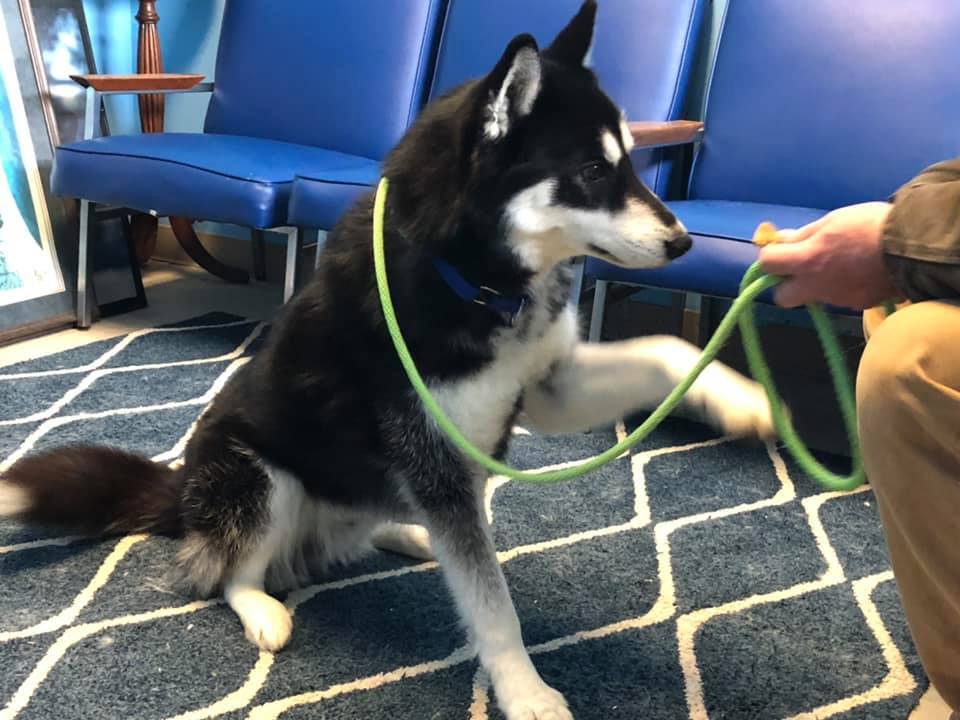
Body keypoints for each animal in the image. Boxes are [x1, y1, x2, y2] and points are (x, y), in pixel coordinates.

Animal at [0, 4, 776, 716]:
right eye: (590, 171)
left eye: (631, 162)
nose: (683, 244)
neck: (475, 280)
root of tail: (182, 492)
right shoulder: (435, 457)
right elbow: (492, 605)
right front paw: (526, 691)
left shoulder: (546, 389)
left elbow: (666, 348)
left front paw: (743, 397)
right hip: (260, 478)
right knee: (228, 573)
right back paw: (264, 608)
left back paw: (407, 533)